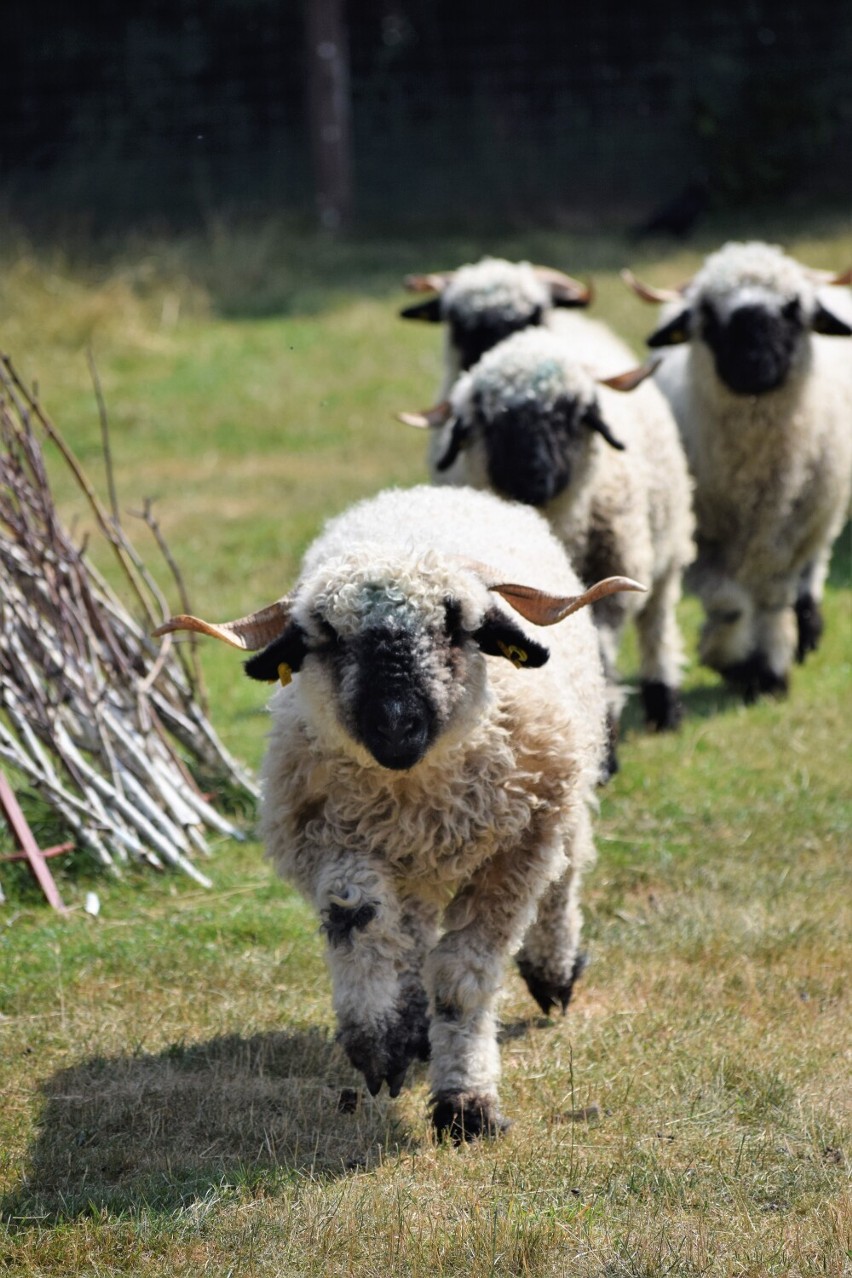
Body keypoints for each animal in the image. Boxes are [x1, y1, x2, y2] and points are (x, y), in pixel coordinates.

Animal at [155, 485, 646, 1139]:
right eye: (329, 636)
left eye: (456, 626)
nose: (394, 725)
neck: (413, 788)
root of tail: (429, 492)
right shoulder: (332, 843)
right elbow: (359, 923)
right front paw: (379, 1043)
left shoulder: (516, 855)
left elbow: (463, 980)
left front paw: (466, 1104)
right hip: (409, 864)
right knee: (408, 935)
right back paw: (411, 1022)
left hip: (561, 798)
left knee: (564, 878)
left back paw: (552, 973)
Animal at [403, 329, 694, 746]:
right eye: (491, 422)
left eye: (567, 416)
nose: (533, 476)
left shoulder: (609, 580)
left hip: (667, 546)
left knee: (656, 622)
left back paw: (664, 702)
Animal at [620, 244, 852, 705]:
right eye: (709, 315)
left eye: (793, 310)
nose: (754, 367)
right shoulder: (700, 541)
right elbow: (730, 605)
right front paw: (730, 660)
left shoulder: (787, 539)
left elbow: (771, 602)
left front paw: (770, 670)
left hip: (822, 518)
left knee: (811, 572)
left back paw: (807, 629)